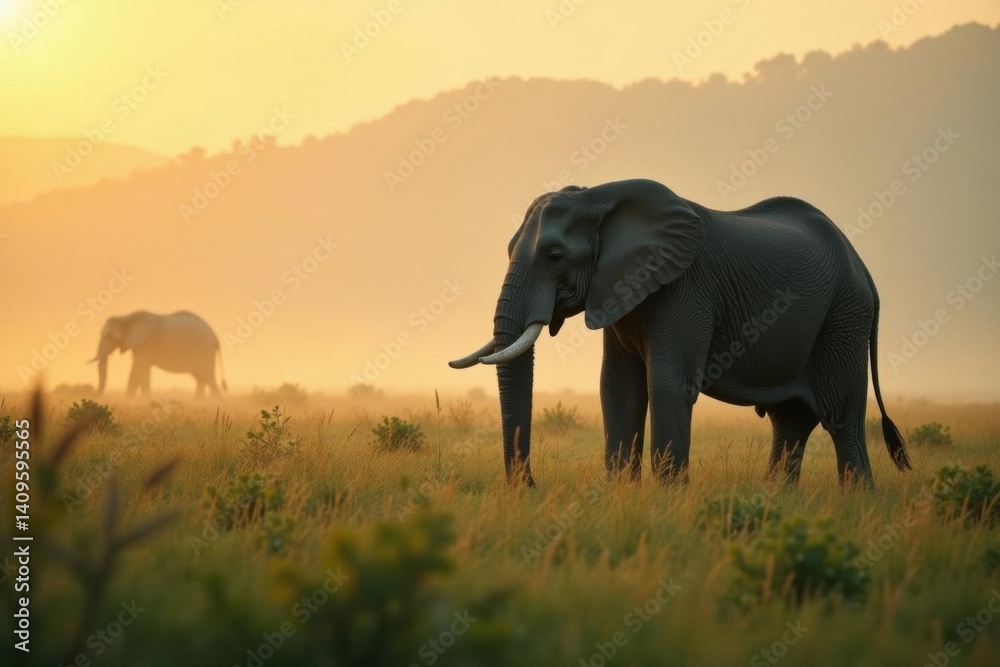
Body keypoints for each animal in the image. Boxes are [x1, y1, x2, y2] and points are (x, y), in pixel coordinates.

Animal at [91, 311, 228, 397]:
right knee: (201, 379)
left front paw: (134, 400)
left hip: (204, 351)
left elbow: (138, 370)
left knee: (209, 378)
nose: (94, 393)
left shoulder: (144, 344)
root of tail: (215, 337)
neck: (126, 317)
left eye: (111, 337)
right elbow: (141, 371)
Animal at [449, 179, 911, 487]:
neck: (601, 197)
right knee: (791, 421)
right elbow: (618, 388)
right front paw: (622, 496)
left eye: (555, 256)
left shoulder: (686, 288)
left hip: (843, 317)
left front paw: (668, 500)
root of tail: (863, 268)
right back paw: (777, 499)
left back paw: (856, 502)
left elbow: (667, 384)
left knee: (840, 416)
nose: (529, 486)